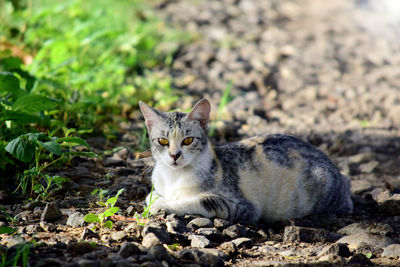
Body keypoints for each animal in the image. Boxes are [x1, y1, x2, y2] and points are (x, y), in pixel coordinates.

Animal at [139, 99, 352, 223]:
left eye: (188, 140)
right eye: (163, 141)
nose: (174, 155)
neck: (173, 177)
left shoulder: (240, 206)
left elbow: (195, 200)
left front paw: (163, 204)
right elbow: (150, 195)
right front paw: (158, 199)